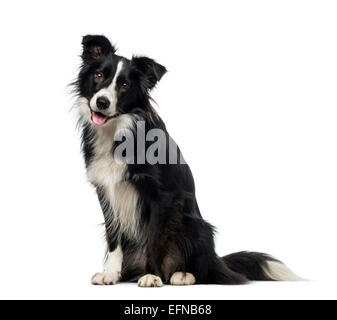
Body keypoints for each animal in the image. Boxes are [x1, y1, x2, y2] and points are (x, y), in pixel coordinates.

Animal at [73, 35, 300, 288]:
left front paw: (152, 275)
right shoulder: (106, 191)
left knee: (204, 270)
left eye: (125, 85)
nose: (102, 102)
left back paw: (181, 274)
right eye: (99, 75)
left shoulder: (161, 197)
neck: (117, 131)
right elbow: (114, 237)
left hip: (196, 226)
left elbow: (154, 240)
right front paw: (111, 273)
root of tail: (217, 260)